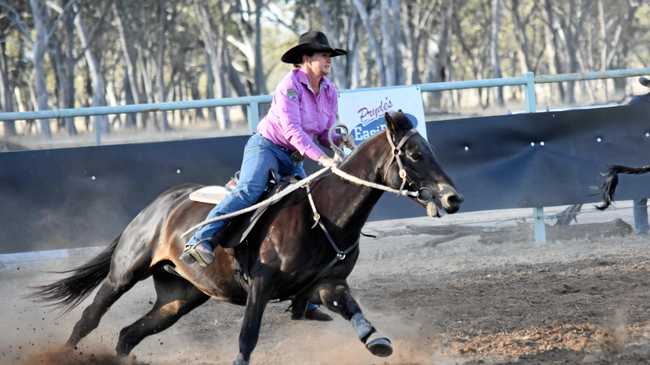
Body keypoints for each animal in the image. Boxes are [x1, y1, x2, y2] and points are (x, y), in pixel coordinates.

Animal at [34, 111, 460, 364]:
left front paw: (377, 341)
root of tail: (155, 207)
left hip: (179, 298)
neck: (322, 214)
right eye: (415, 155)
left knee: (129, 334)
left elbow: (354, 310)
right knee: (89, 319)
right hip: (125, 272)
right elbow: (247, 337)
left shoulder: (329, 283)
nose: (453, 198)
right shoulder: (261, 283)